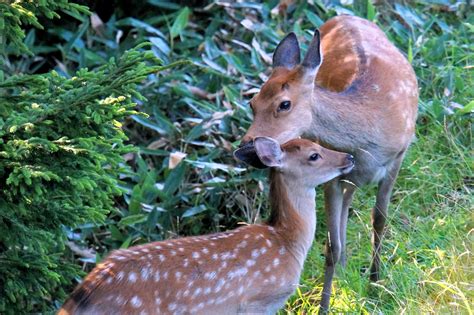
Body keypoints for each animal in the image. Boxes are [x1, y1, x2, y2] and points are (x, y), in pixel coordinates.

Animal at [239, 14, 416, 312]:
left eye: (284, 104)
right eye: (252, 103)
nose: (246, 148)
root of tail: (345, 16)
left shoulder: (398, 156)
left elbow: (379, 219)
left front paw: (376, 284)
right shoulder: (332, 169)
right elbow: (331, 247)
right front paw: (325, 305)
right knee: (347, 201)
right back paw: (344, 268)